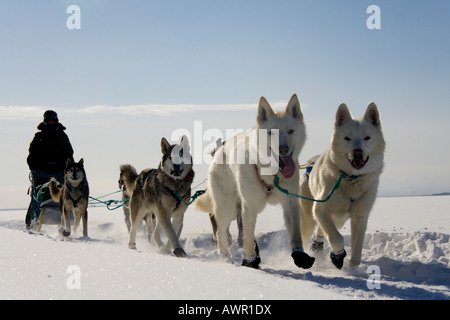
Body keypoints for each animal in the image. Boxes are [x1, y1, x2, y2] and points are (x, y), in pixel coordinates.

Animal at [207, 94, 314, 268]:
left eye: (291, 131)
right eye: (271, 133)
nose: (283, 149)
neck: (272, 174)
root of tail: (219, 150)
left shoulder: (290, 202)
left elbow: (296, 233)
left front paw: (299, 254)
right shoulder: (250, 205)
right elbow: (248, 236)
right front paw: (249, 260)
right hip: (227, 208)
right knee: (221, 231)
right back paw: (225, 257)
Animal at [298, 102, 386, 268]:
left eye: (367, 138)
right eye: (347, 138)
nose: (357, 152)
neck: (351, 179)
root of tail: (310, 163)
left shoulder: (360, 216)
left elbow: (357, 249)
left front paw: (353, 268)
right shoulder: (320, 207)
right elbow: (336, 238)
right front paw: (338, 256)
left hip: (339, 219)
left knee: (324, 229)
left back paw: (318, 245)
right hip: (309, 217)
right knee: (309, 232)